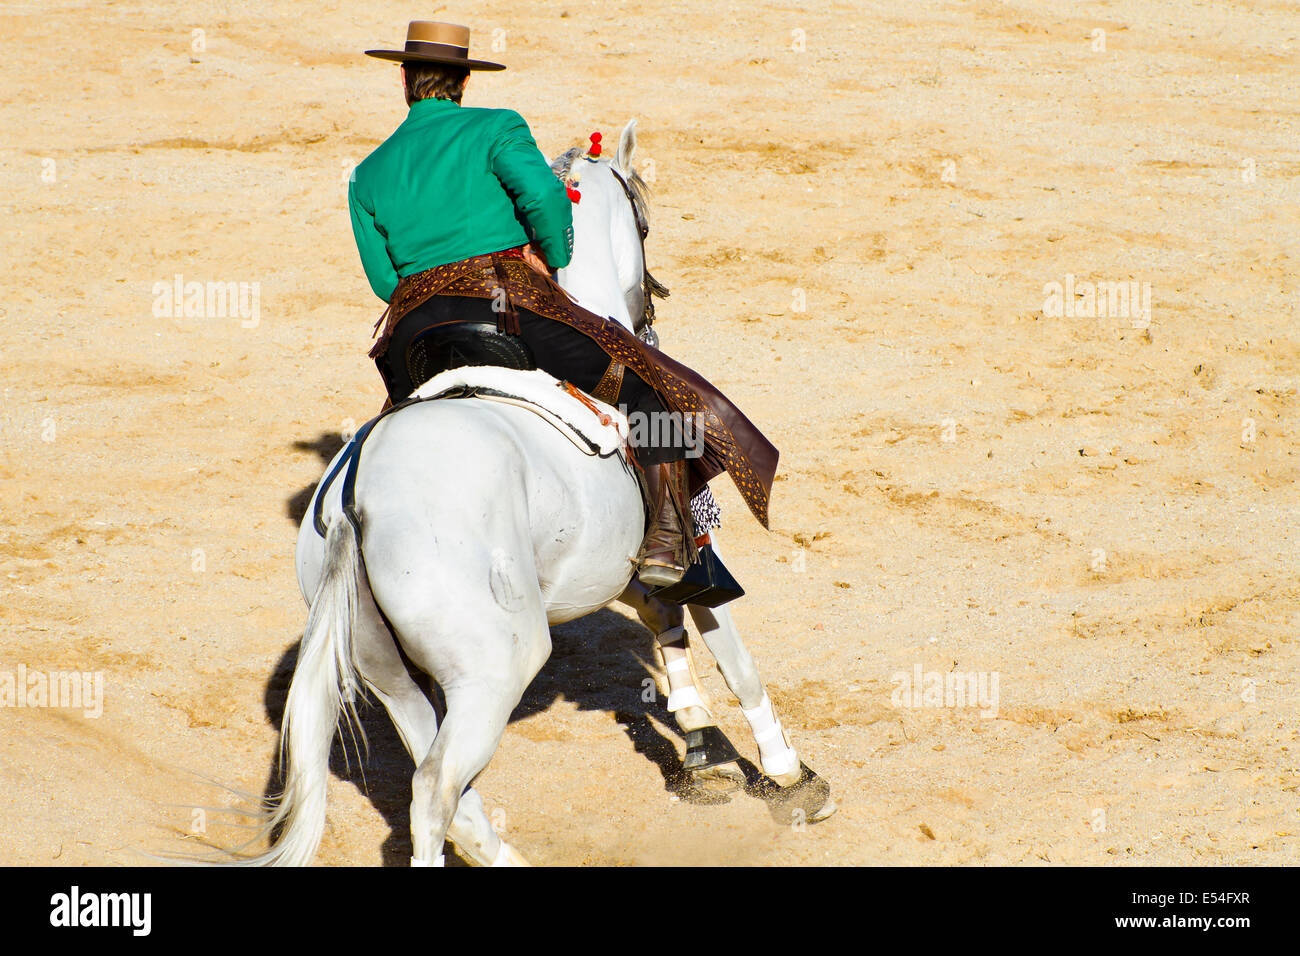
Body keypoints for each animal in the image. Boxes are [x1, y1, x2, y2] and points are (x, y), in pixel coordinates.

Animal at [257, 119, 832, 868]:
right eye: (645, 222)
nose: (650, 315)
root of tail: (356, 499)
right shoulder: (696, 554)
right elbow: (734, 656)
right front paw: (791, 777)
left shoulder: (620, 569)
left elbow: (666, 624)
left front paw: (701, 746)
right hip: (496, 666)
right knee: (434, 790)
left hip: (389, 674)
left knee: (451, 790)